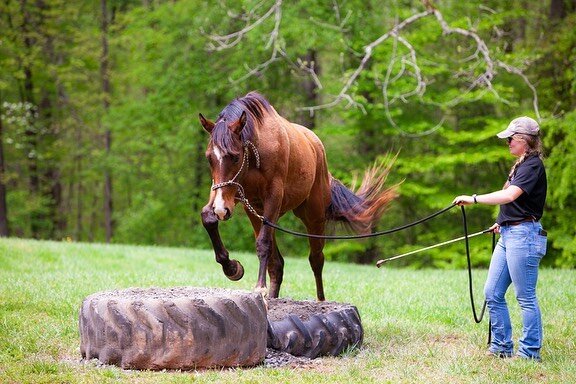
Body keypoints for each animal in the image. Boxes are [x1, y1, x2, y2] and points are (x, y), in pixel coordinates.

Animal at [200, 92, 398, 300]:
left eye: (235, 157)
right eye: (209, 158)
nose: (222, 210)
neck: (256, 153)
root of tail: (317, 146)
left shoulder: (272, 198)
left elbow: (263, 243)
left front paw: (260, 287)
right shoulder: (234, 196)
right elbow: (208, 217)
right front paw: (232, 268)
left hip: (313, 217)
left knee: (316, 259)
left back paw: (320, 300)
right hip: (261, 213)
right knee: (277, 264)